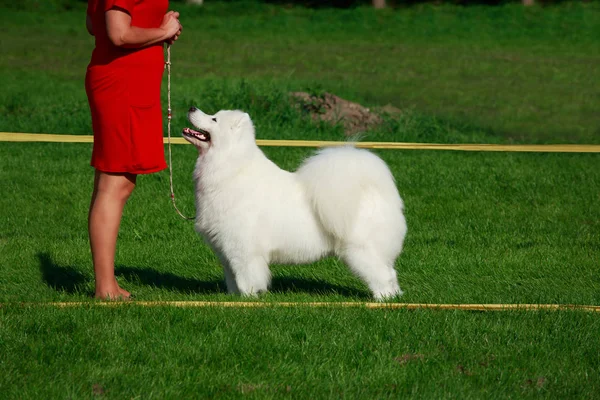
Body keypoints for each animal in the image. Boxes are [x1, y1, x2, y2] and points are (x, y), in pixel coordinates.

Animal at [183, 107, 408, 300]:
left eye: (214, 119)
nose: (192, 108)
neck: (229, 167)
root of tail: (375, 191)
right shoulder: (226, 249)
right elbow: (232, 278)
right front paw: (234, 299)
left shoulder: (243, 249)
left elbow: (247, 278)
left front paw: (249, 299)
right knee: (391, 273)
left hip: (361, 250)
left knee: (383, 275)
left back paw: (382, 300)